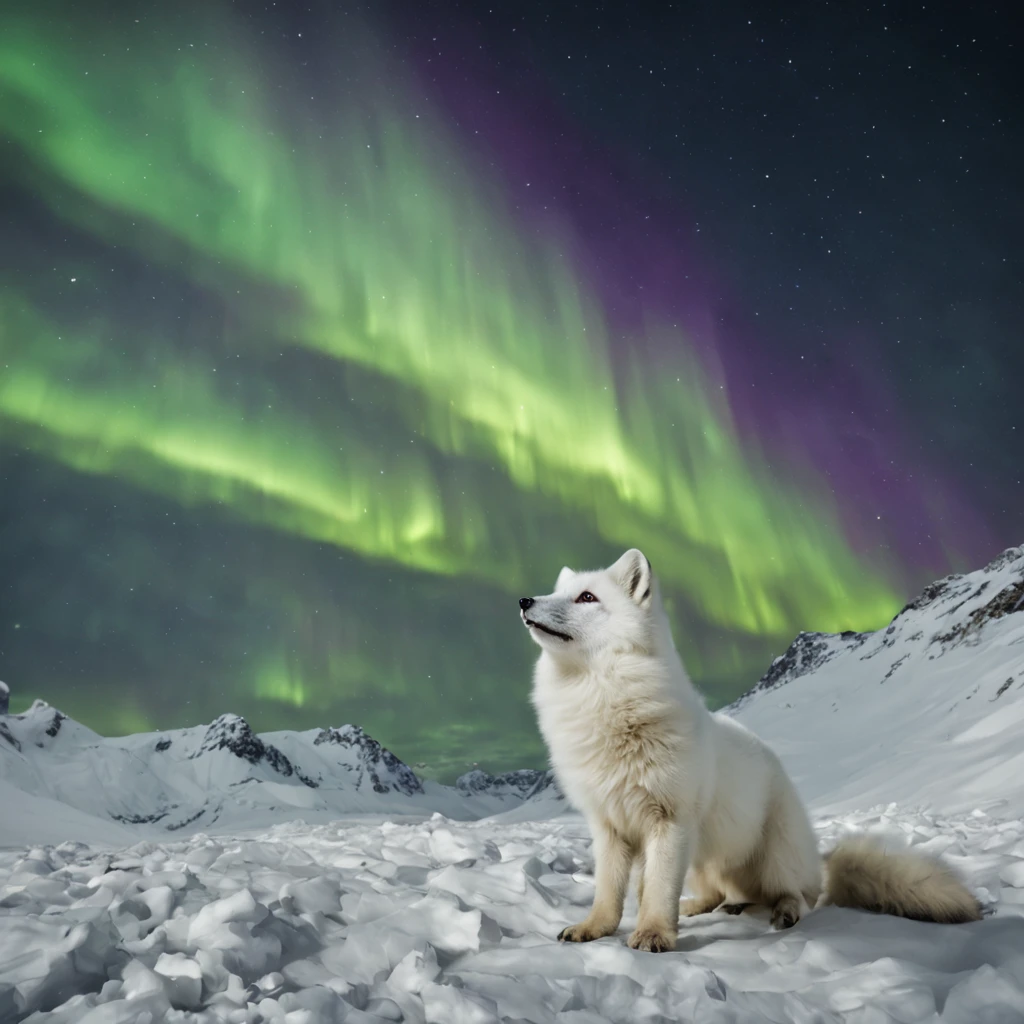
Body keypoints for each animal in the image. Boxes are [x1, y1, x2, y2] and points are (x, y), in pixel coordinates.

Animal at [524, 552, 978, 950]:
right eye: (556, 591)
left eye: (587, 597)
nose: (525, 601)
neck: (601, 701)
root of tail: (817, 858)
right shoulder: (609, 824)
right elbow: (609, 893)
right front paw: (594, 929)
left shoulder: (669, 820)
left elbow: (656, 891)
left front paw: (653, 935)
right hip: (704, 859)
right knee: (719, 895)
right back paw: (706, 907)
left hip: (770, 857)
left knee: (799, 895)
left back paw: (783, 912)